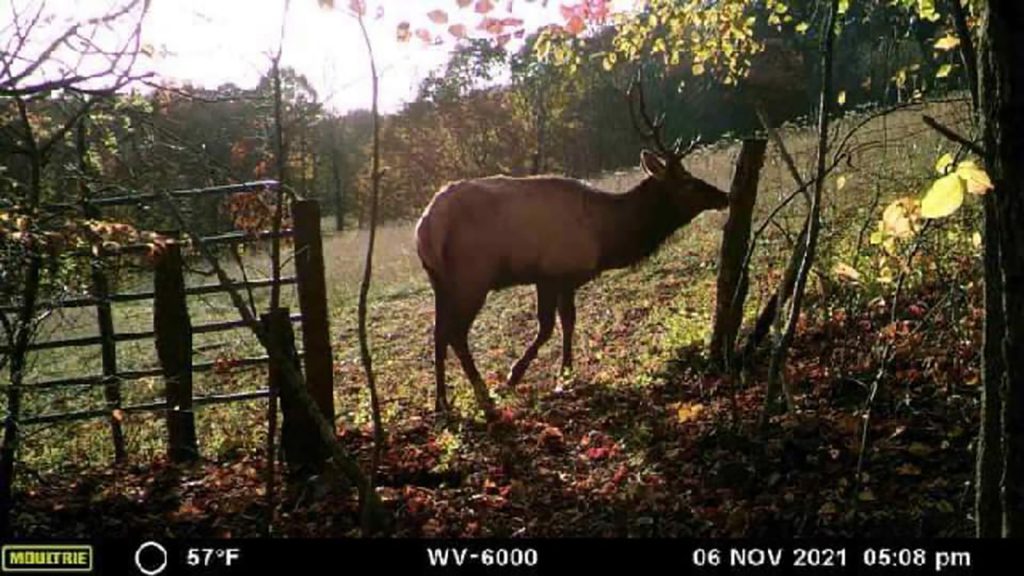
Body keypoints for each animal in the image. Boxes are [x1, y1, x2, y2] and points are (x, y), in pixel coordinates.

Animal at [415, 78, 729, 414]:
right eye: (688, 183)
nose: (724, 196)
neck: (606, 237)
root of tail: (426, 227)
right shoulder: (556, 272)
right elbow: (552, 326)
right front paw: (526, 375)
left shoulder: (555, 278)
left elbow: (564, 322)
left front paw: (562, 374)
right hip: (472, 275)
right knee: (456, 332)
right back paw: (484, 395)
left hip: (439, 279)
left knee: (438, 332)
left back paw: (441, 401)